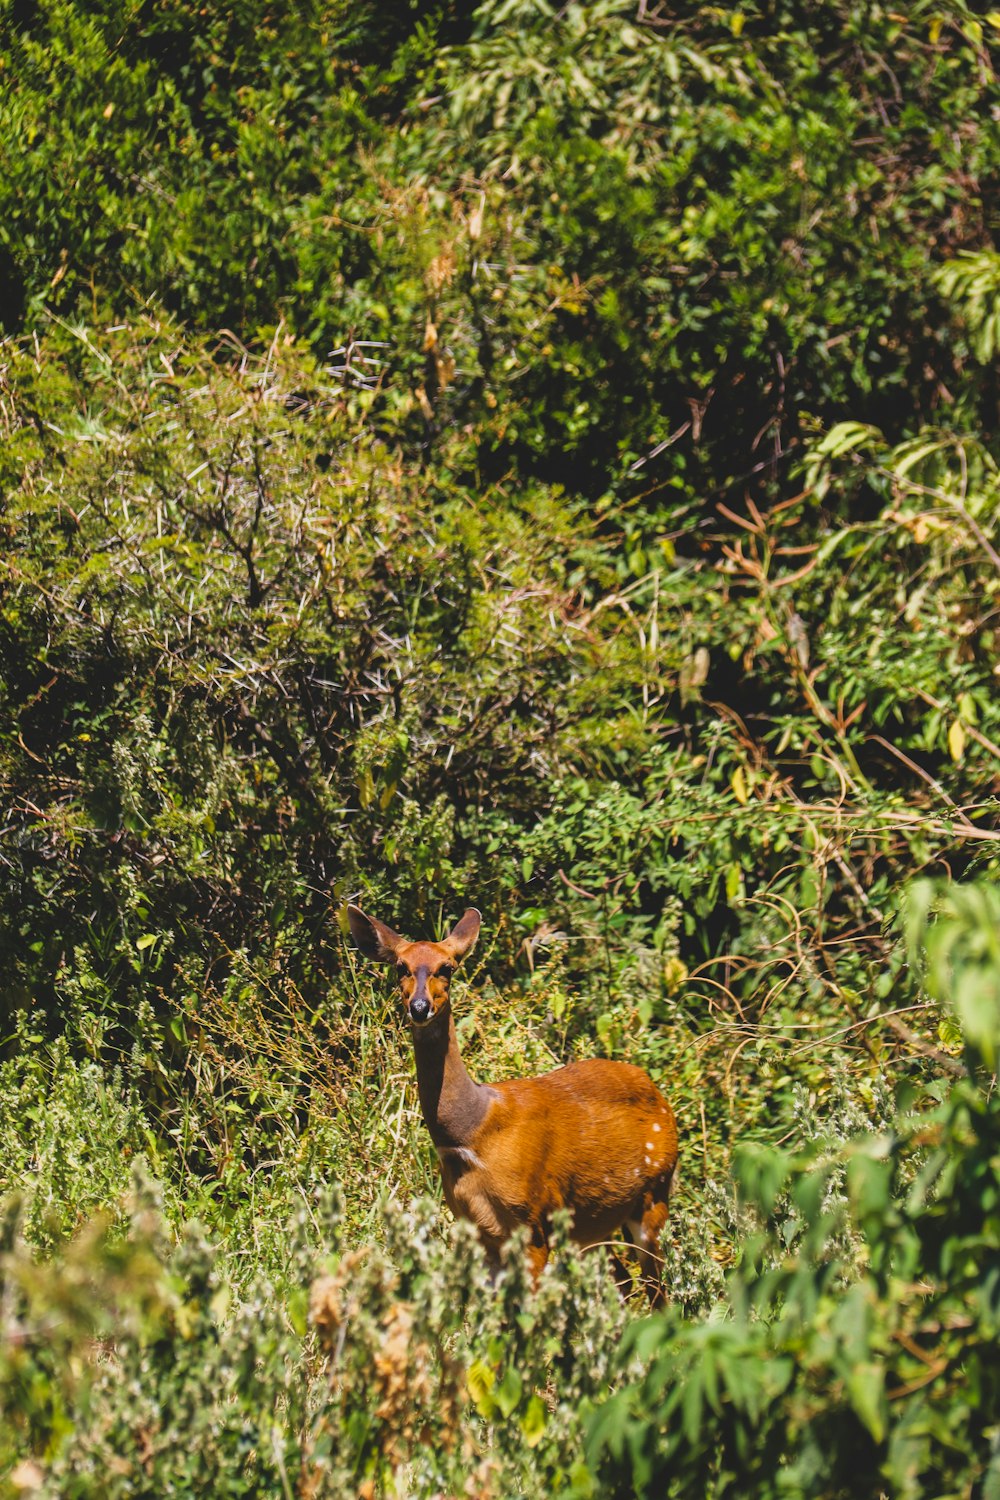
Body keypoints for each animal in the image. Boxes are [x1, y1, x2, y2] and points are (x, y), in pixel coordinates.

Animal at [346, 900, 680, 1302]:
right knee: (624, 1282)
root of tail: (660, 1097)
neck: (471, 1135)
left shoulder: (530, 1222)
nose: (420, 1007)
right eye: (401, 967)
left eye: (447, 967)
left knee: (656, 1289)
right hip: (591, 1222)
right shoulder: (479, 1229)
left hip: (654, 1192)